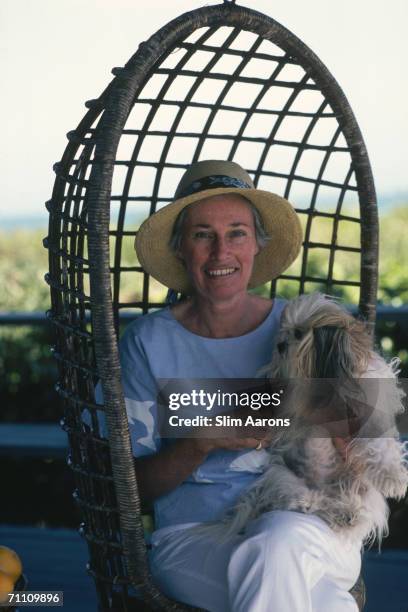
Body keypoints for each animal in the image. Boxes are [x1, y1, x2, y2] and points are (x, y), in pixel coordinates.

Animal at [217, 292, 408, 544]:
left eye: (298, 334)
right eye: (284, 333)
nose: (280, 346)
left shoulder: (372, 409)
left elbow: (379, 443)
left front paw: (393, 477)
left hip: (364, 491)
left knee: (353, 509)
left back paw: (348, 513)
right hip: (283, 476)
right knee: (302, 500)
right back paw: (329, 509)